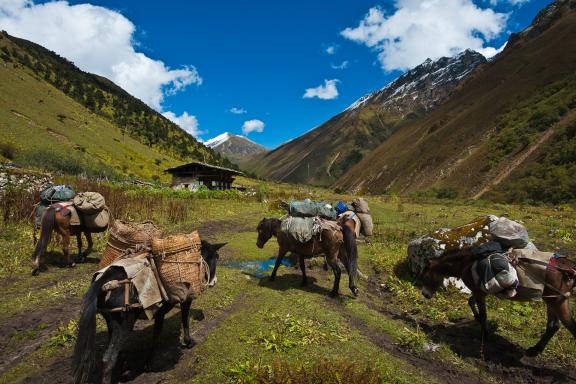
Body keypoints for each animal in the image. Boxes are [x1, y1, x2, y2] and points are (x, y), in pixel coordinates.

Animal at [72, 240, 225, 384]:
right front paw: (188, 342)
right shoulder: (186, 300)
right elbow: (184, 320)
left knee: (117, 351)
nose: (214, 281)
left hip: (111, 322)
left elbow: (156, 334)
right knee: (108, 359)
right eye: (215, 256)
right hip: (124, 323)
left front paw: (148, 363)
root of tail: (104, 280)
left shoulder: (159, 312)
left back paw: (125, 369)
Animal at [418, 250, 576, 356]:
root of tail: (568, 270)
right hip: (552, 300)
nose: (425, 294)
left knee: (569, 327)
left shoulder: (479, 292)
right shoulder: (480, 291)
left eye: (426, 276)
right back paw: (535, 350)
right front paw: (478, 321)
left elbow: (483, 314)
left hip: (557, 302)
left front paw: (484, 335)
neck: (466, 264)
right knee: (553, 326)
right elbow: (471, 303)